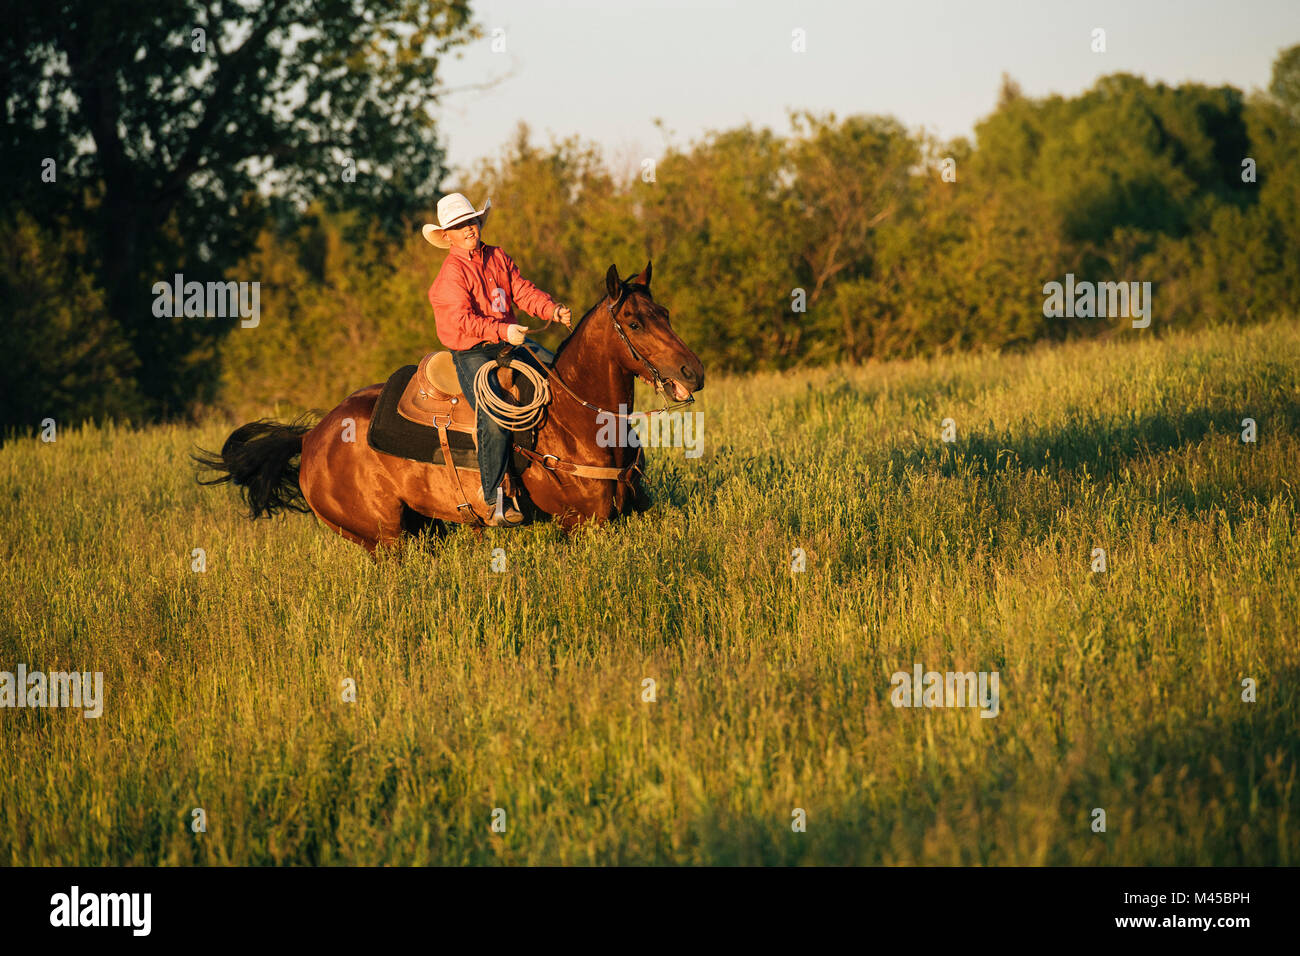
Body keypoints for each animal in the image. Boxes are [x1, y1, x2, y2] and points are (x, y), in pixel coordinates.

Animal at [196, 265, 707, 556]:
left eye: (664, 312)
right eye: (634, 323)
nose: (693, 370)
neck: (578, 420)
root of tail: (310, 438)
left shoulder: (634, 510)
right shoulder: (583, 524)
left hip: (423, 528)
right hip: (385, 540)